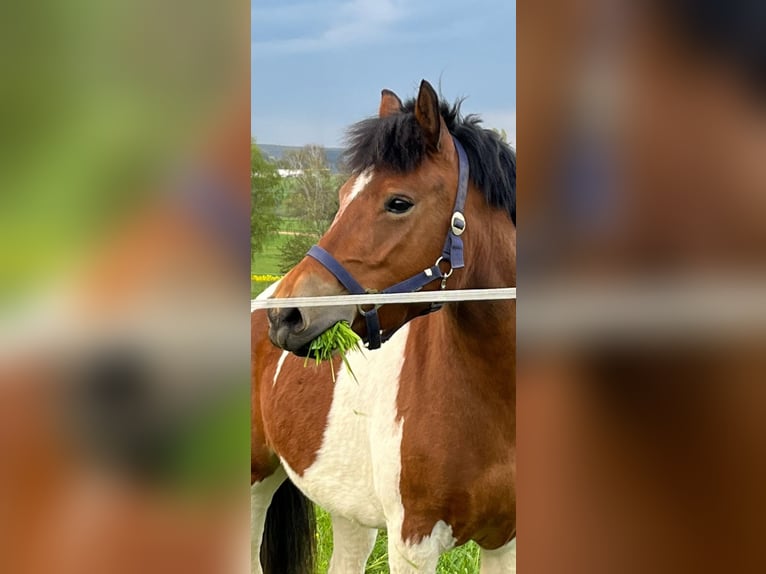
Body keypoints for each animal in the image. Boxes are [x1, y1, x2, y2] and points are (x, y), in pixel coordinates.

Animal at [255, 81, 520, 574]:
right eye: (342, 197)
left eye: (399, 202)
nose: (287, 316)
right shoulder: (412, 543)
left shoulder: (505, 542)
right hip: (256, 481)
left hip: (347, 511)